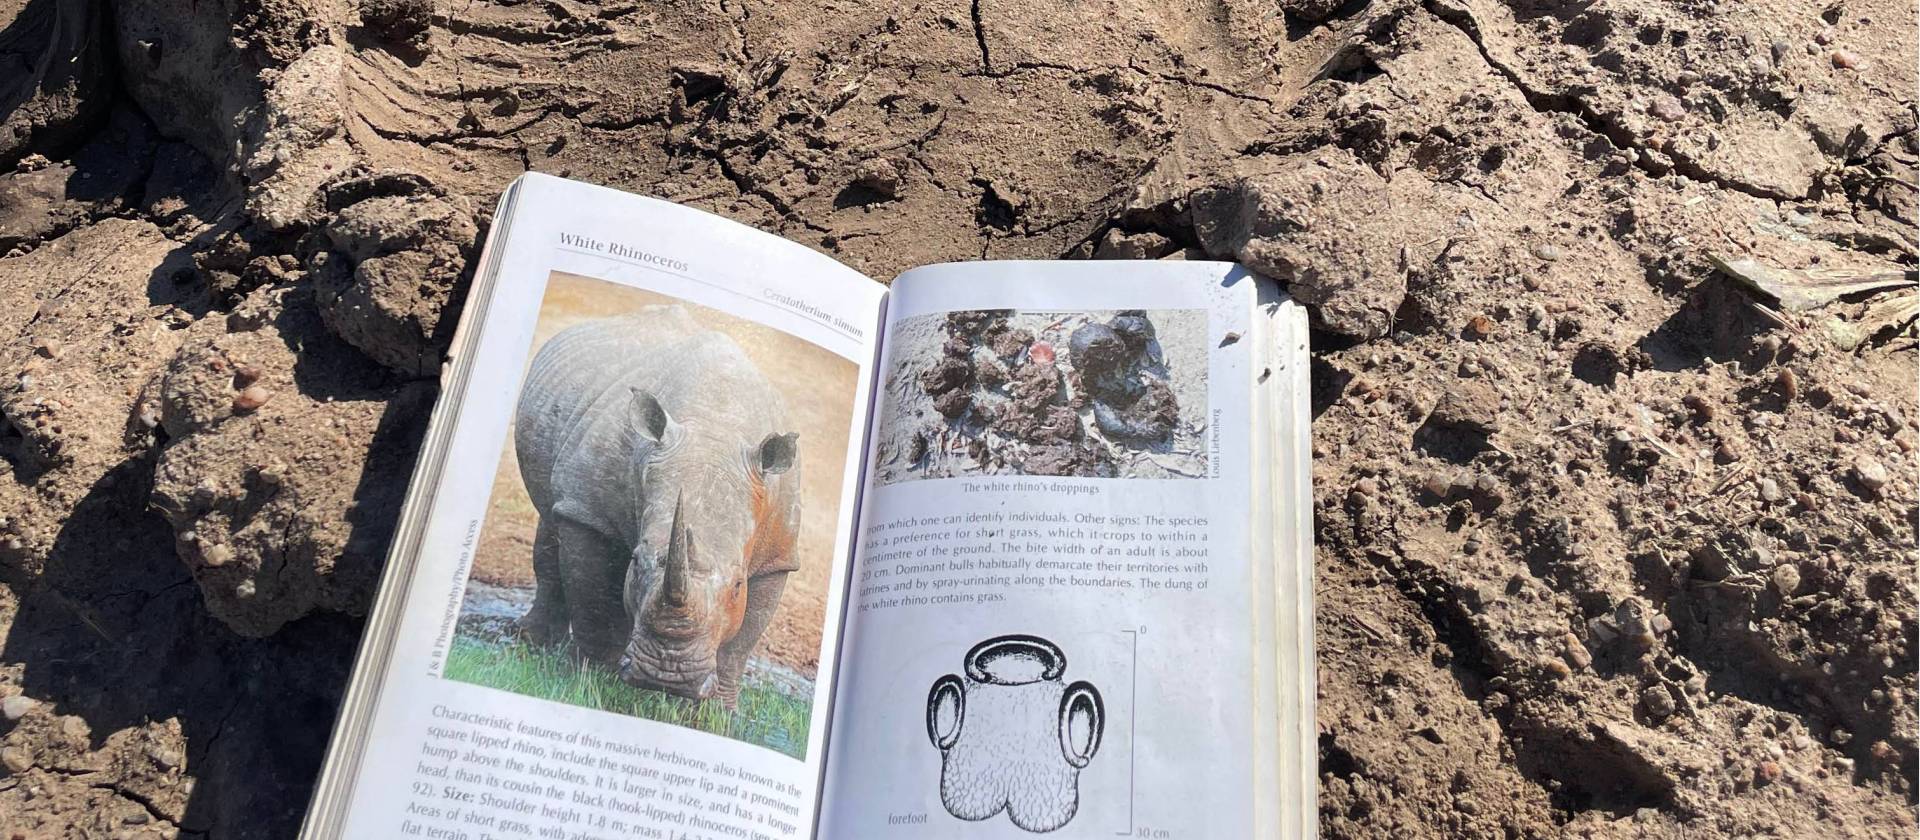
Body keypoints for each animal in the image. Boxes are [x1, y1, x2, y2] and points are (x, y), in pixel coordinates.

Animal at [511, 304, 801, 708]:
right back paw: (530, 643)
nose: (668, 676)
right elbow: (593, 600)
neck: (716, 425)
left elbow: (742, 640)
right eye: (636, 562)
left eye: (737, 585)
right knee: (555, 520)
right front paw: (588, 685)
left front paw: (718, 712)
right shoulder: (591, 515)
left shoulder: (779, 552)